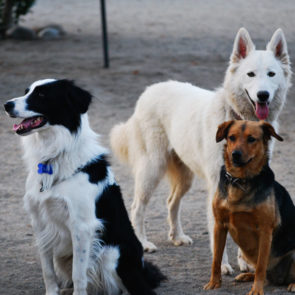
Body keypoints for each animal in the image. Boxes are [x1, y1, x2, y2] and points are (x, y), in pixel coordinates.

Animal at [4, 79, 166, 295]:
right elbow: (48, 271)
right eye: (26, 91)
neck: (54, 158)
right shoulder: (40, 222)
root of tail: (141, 269)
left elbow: (79, 274)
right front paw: (52, 292)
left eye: (41, 95)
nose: (6, 105)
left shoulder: (82, 227)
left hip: (112, 254)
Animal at [111, 27, 294, 276]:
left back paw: (177, 236)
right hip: (152, 168)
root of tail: (149, 90)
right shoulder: (218, 186)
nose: (263, 95)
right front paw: (223, 266)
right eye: (251, 74)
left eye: (271, 74)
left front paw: (246, 262)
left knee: (171, 202)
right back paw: (144, 243)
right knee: (137, 207)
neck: (241, 124)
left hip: (184, 176)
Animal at [205, 121, 295, 295]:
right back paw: (247, 276)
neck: (240, 180)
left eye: (252, 139)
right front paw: (214, 283)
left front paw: (256, 290)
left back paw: (293, 284)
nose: (235, 154)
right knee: (265, 275)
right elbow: (216, 260)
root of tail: (280, 279)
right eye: (231, 137)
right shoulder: (219, 225)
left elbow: (260, 266)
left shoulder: (265, 231)